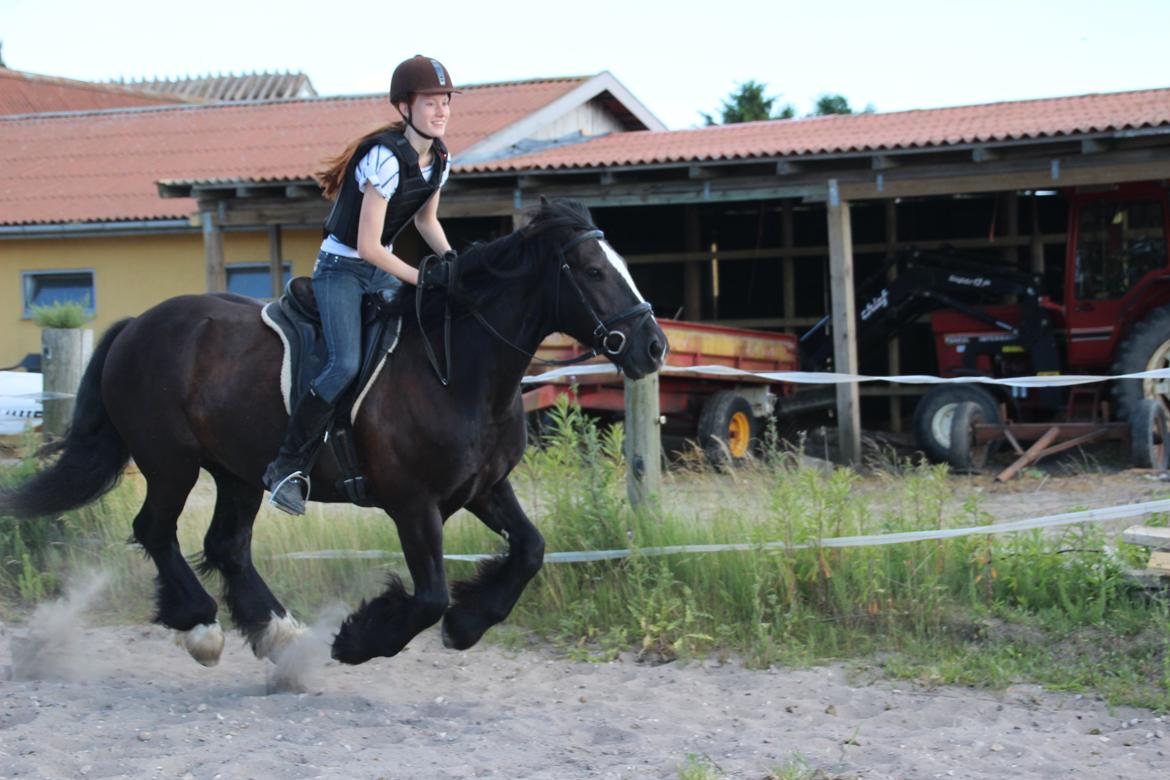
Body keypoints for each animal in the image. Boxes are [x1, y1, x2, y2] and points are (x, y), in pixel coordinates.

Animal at [2, 199, 669, 664]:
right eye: (592, 270)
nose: (653, 346)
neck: (457, 368)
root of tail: (138, 323)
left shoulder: (483, 488)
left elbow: (530, 550)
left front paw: (467, 625)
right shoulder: (412, 504)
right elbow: (430, 594)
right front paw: (359, 640)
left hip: (240, 471)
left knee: (226, 544)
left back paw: (278, 633)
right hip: (171, 462)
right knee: (156, 531)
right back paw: (202, 627)